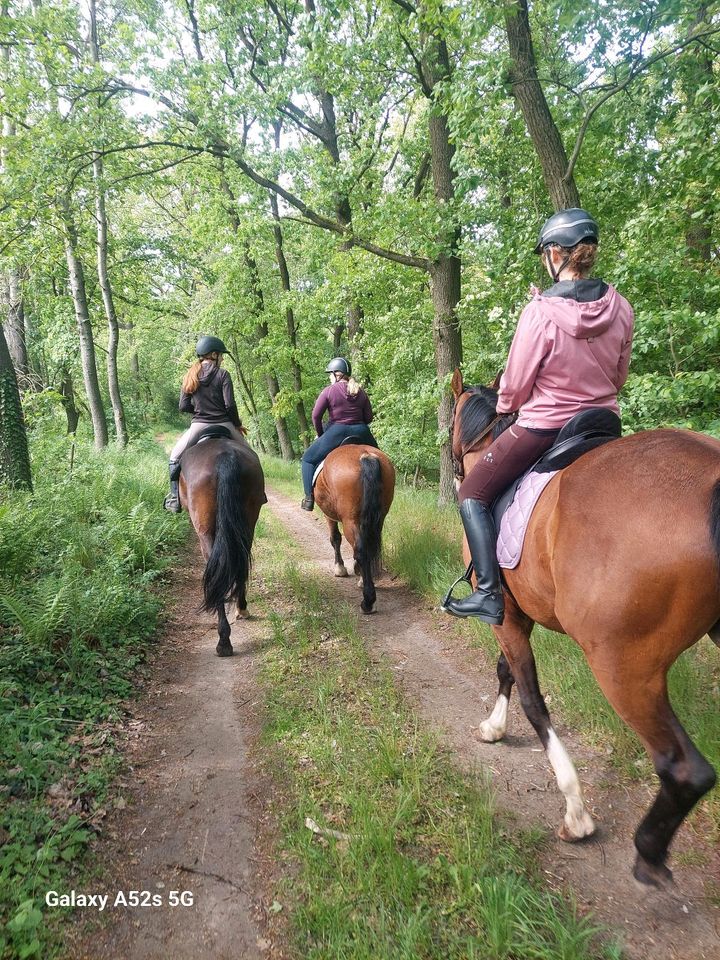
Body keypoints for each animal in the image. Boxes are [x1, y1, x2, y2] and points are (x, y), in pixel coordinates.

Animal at [180, 436, 268, 656]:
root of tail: (224, 456)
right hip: (247, 524)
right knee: (240, 562)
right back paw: (241, 609)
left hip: (205, 532)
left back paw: (224, 640)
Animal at [314, 440, 394, 608]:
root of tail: (365, 456)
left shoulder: (328, 515)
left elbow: (335, 538)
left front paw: (340, 568)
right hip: (378, 518)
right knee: (369, 546)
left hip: (350, 520)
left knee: (361, 550)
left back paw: (368, 600)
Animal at [450, 366, 720, 884]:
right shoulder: (518, 612)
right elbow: (505, 670)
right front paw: (494, 727)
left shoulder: (504, 613)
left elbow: (533, 700)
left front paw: (575, 810)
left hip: (624, 666)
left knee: (685, 768)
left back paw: (648, 852)